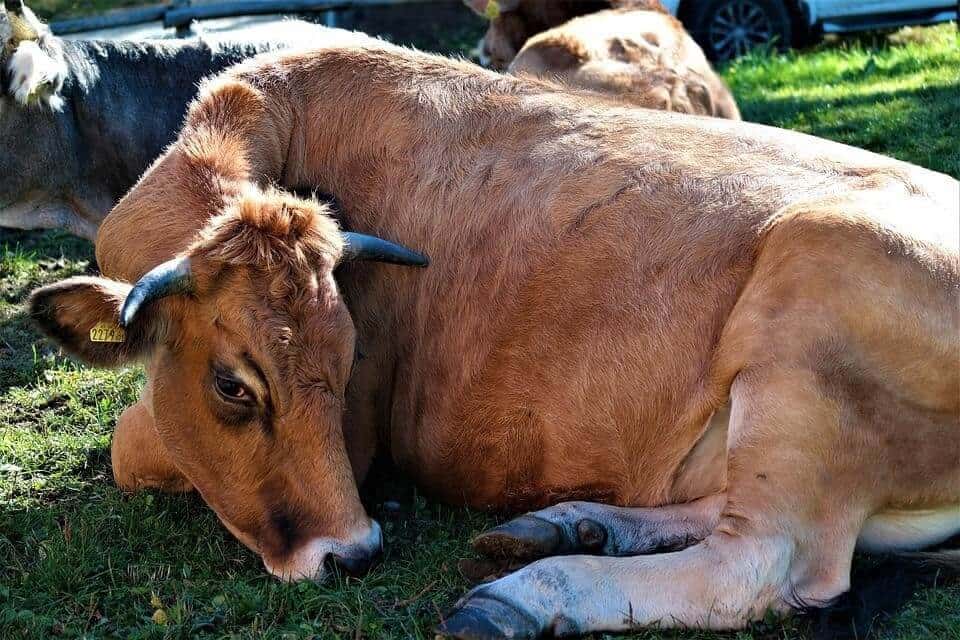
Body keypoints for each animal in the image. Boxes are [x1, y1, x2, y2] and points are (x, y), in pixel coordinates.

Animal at [28, 30, 959, 638]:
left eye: (351, 357)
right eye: (231, 385)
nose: (354, 553)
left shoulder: (350, 439)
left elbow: (131, 445)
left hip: (812, 303)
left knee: (766, 563)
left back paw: (529, 593)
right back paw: (573, 525)